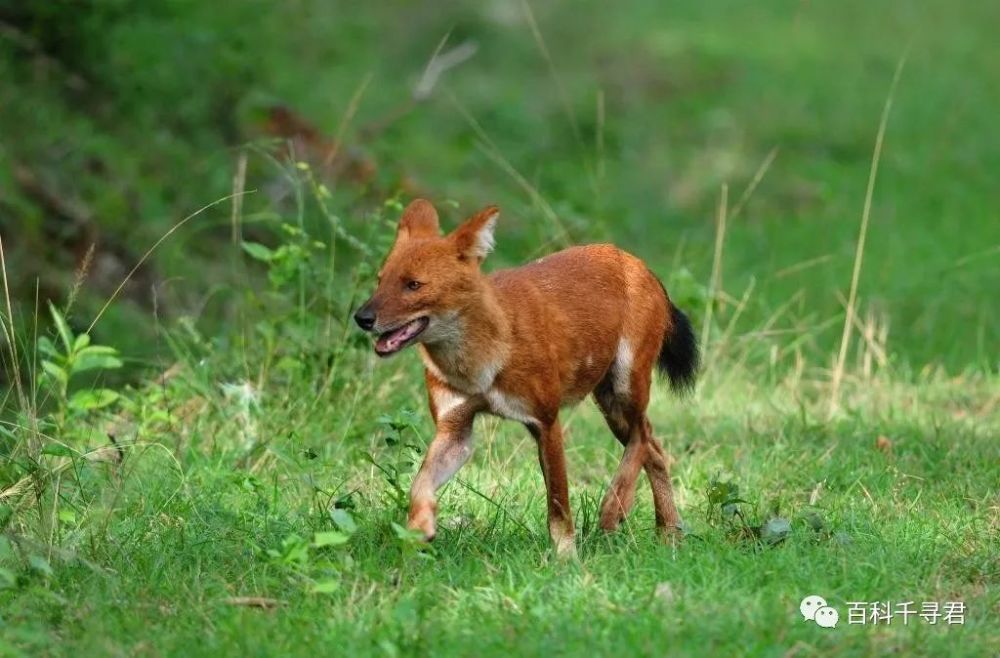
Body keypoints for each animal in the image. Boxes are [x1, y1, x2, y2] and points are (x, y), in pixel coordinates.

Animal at [356, 199, 700, 552]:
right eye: (380, 281)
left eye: (413, 284)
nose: (362, 318)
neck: (478, 364)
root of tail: (638, 263)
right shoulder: (455, 430)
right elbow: (419, 484)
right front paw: (418, 528)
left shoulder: (545, 420)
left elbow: (559, 503)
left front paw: (566, 557)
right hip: (610, 403)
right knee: (653, 447)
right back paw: (669, 532)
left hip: (625, 385)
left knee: (642, 436)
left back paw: (614, 509)